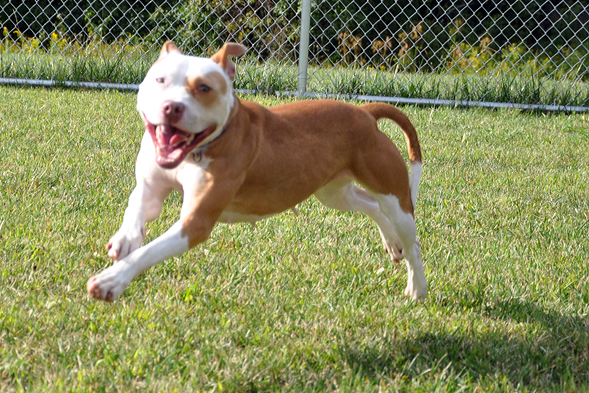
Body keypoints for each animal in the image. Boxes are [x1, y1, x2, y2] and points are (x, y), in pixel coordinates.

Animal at [86, 40, 428, 300]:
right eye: (160, 80)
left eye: (204, 88)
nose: (172, 107)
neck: (201, 148)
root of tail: (364, 112)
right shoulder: (151, 185)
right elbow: (135, 207)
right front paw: (126, 239)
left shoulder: (196, 222)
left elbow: (150, 252)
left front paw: (112, 280)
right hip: (333, 192)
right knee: (370, 205)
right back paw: (392, 243)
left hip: (393, 195)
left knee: (412, 242)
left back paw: (417, 287)